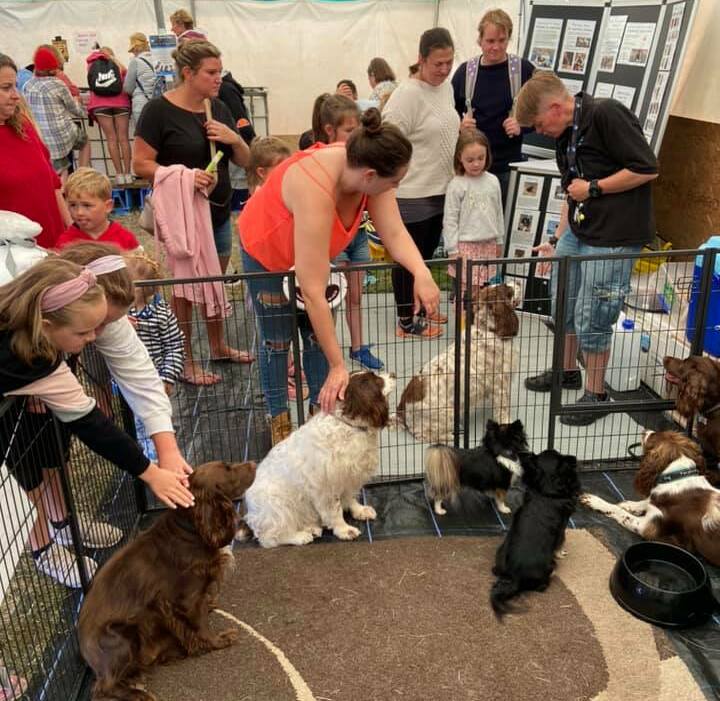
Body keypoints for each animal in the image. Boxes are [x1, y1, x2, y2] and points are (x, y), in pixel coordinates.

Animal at [78, 460, 256, 701]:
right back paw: (139, 694)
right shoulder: (187, 599)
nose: (254, 463)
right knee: (102, 688)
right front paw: (219, 641)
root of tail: (84, 651)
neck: (192, 529)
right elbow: (201, 623)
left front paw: (210, 608)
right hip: (123, 637)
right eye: (228, 469)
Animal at [242, 371, 394, 548]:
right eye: (377, 380)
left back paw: (311, 528)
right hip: (277, 507)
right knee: (269, 538)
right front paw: (344, 530)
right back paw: (300, 536)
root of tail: (250, 515)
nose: (393, 374)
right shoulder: (326, 486)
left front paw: (360, 511)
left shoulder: (348, 477)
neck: (349, 426)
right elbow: (335, 510)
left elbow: (350, 497)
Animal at [397, 284, 519, 446]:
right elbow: (503, 411)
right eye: (508, 290)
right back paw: (450, 436)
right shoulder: (501, 386)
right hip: (448, 412)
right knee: (422, 435)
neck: (486, 329)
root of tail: (401, 410)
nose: (518, 283)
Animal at [490, 450, 580, 619]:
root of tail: (516, 577)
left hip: (500, 553)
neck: (545, 491)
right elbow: (561, 542)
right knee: (541, 587)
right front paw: (561, 553)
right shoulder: (562, 525)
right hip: (549, 566)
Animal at [580, 430, 720, 566]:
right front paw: (627, 504)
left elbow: (620, 512)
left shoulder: (646, 528)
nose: (644, 431)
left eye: (653, 436)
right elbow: (646, 501)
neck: (678, 478)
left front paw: (596, 501)